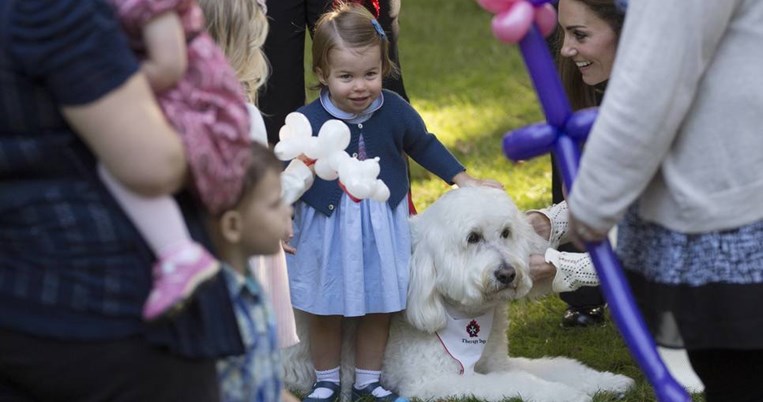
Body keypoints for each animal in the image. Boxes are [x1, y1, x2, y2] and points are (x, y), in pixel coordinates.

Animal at [284, 187, 636, 400]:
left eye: (506, 233)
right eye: (473, 238)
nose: (507, 274)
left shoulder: (497, 363)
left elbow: (559, 366)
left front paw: (608, 381)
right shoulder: (438, 382)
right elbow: (522, 384)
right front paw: (567, 395)